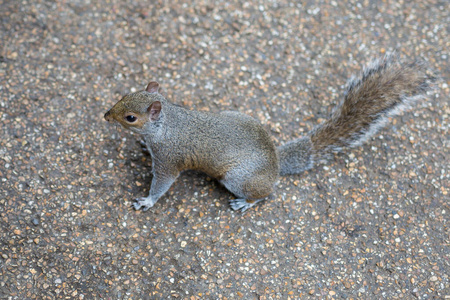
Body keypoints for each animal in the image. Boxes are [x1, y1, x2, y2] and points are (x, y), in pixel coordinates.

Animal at [104, 55, 436, 212]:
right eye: (123, 95)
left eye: (131, 117)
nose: (106, 115)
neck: (166, 124)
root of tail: (276, 162)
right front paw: (143, 147)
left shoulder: (170, 161)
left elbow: (162, 185)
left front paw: (147, 202)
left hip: (237, 178)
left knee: (267, 193)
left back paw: (245, 203)